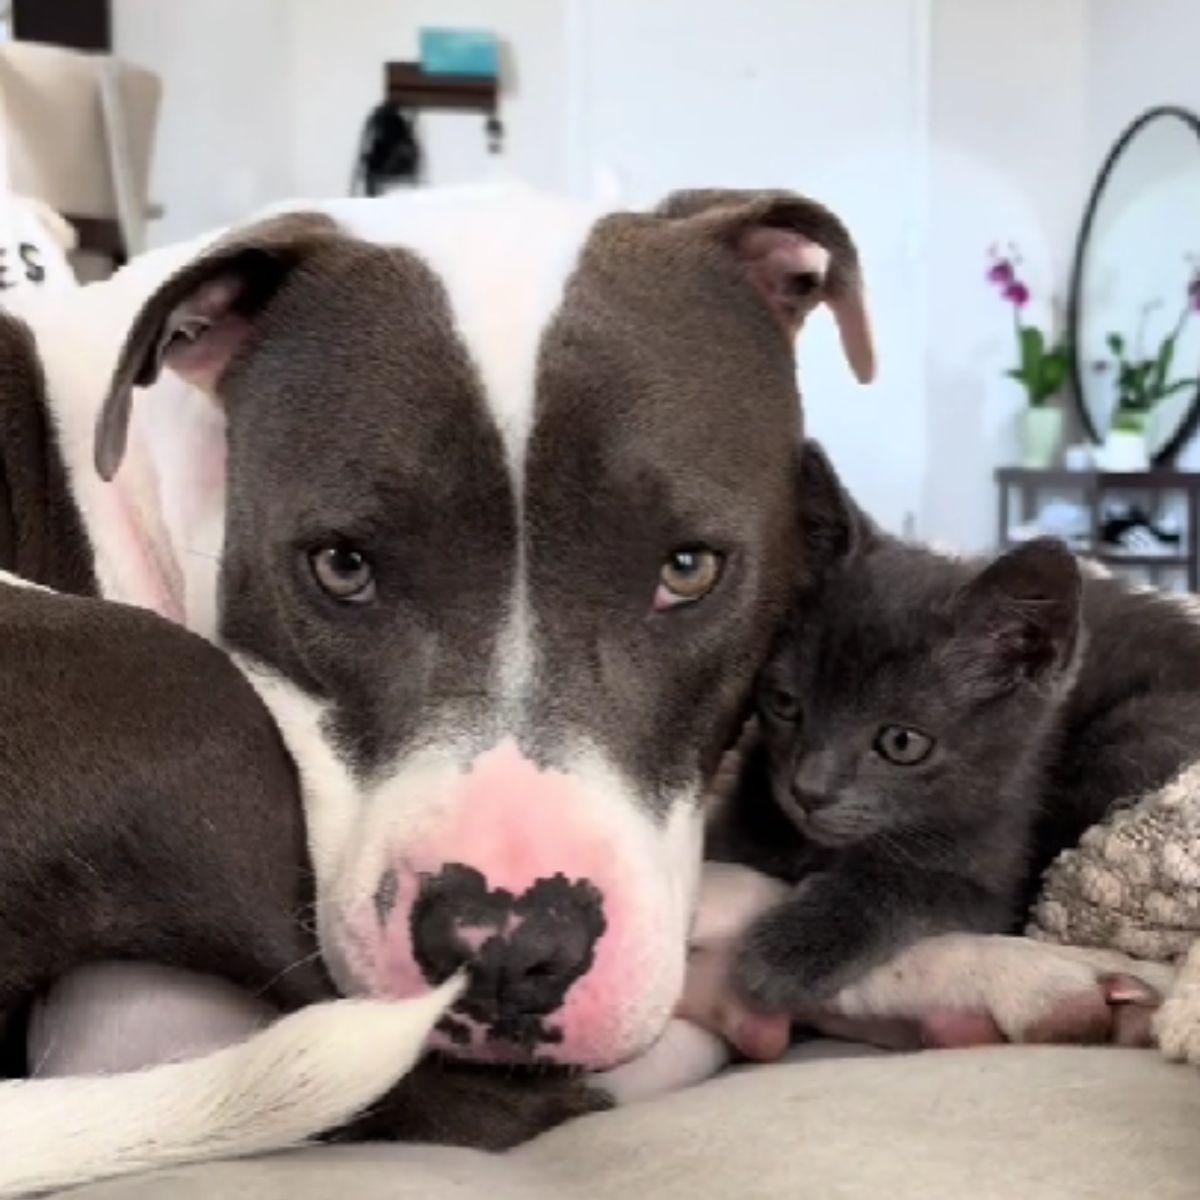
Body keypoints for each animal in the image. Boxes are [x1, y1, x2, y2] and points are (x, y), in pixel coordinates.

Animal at [710, 446, 1200, 1017]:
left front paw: (794, 948)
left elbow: (920, 884)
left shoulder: (997, 866)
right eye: (786, 704)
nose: (808, 790)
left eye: (901, 742)